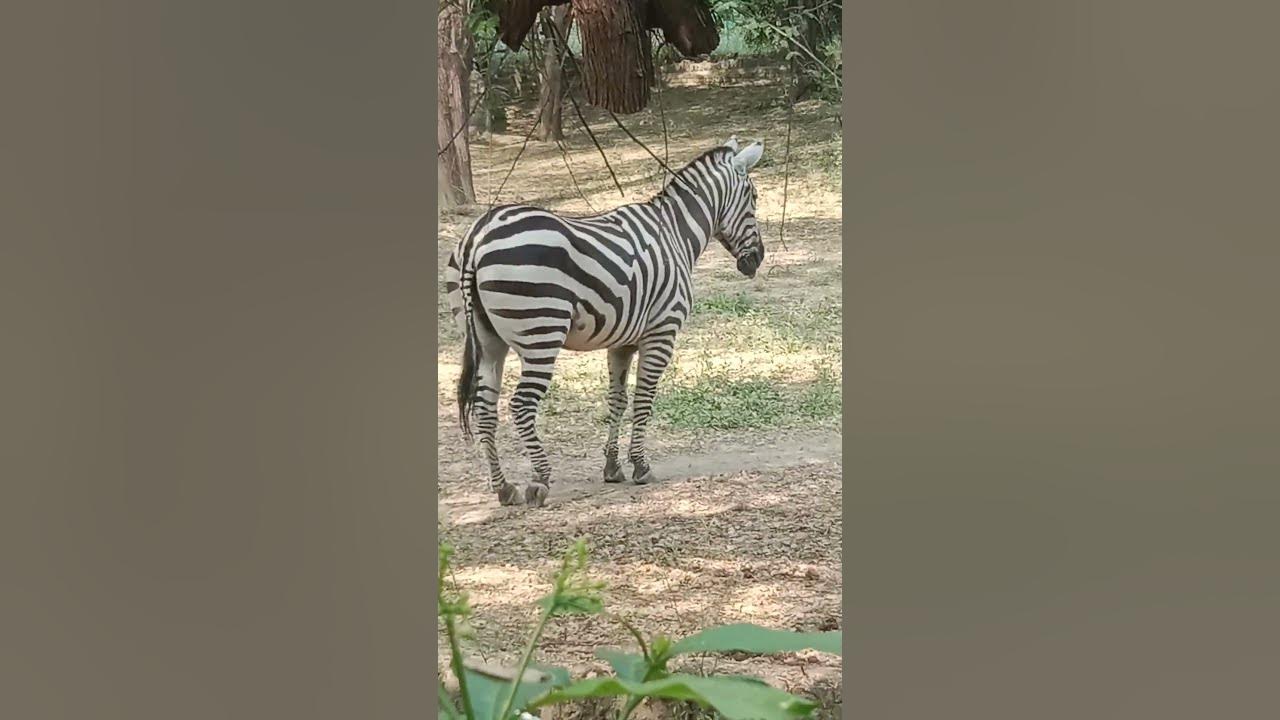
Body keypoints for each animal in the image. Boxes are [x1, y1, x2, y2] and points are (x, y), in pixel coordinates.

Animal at [445, 135, 766, 507]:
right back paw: (539, 480)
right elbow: (643, 399)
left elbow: (617, 400)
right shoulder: (662, 332)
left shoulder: (622, 341)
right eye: (754, 197)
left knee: (485, 409)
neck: (675, 233)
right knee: (522, 405)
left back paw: (503, 487)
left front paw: (612, 467)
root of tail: (477, 236)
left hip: (487, 341)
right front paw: (641, 466)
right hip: (541, 333)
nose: (757, 259)